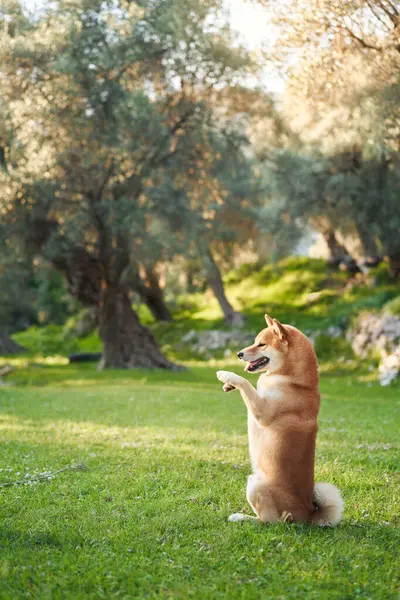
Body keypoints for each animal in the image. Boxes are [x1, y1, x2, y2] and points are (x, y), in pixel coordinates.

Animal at [217, 314, 342, 524]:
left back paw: (242, 517)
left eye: (261, 344)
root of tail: (307, 514)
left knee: (268, 521)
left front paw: (227, 375)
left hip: (256, 484)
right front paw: (228, 385)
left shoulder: (262, 411)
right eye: (255, 342)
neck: (293, 380)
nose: (239, 354)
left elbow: (246, 383)